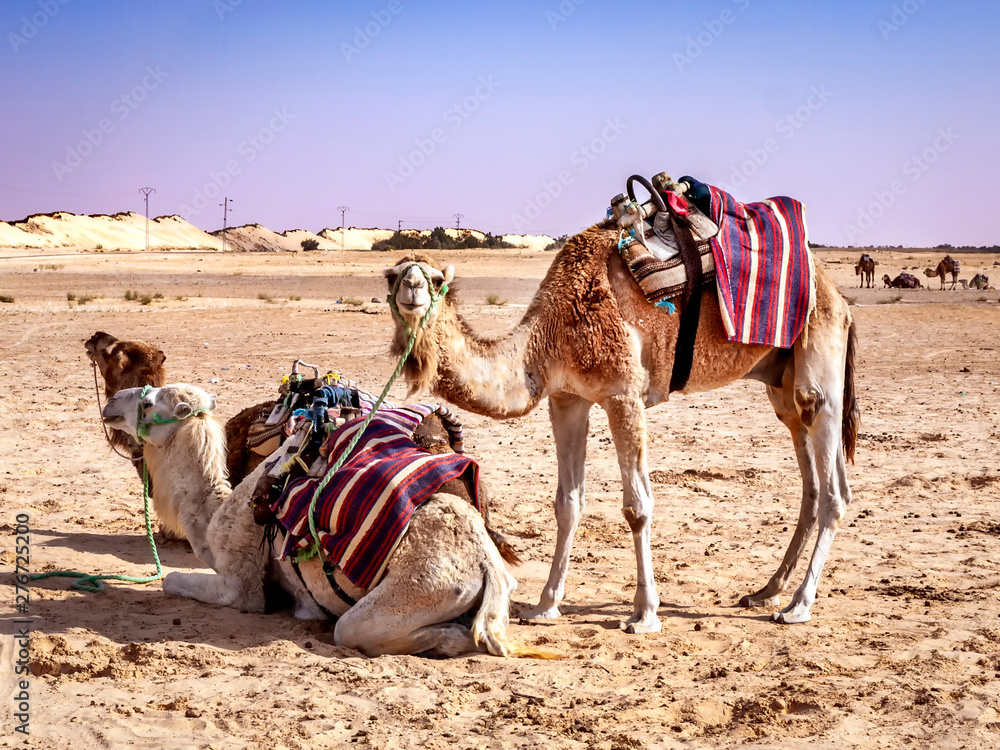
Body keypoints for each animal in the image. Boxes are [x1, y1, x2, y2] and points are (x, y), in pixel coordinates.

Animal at [100, 383, 546, 658]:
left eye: (148, 404)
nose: (111, 403)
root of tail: (486, 566)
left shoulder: (241, 585)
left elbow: (172, 581)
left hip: (417, 591)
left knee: (358, 629)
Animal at [383, 230, 859, 631]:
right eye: (391, 275)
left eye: (436, 280)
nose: (412, 288)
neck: (546, 340)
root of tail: (840, 296)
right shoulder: (567, 399)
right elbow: (567, 504)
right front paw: (545, 606)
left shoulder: (622, 392)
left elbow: (637, 507)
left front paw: (644, 614)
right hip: (781, 383)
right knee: (811, 479)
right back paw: (766, 591)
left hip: (818, 357)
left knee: (833, 482)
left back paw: (798, 605)